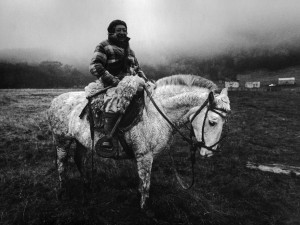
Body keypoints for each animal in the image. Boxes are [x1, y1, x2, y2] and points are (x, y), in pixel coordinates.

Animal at [47, 74, 230, 208]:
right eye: (212, 122)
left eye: (224, 121)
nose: (210, 152)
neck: (158, 112)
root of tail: (55, 100)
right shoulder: (144, 156)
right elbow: (145, 184)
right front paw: (143, 207)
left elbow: (142, 182)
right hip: (62, 140)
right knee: (61, 164)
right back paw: (62, 192)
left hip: (81, 142)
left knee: (79, 160)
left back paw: (87, 186)